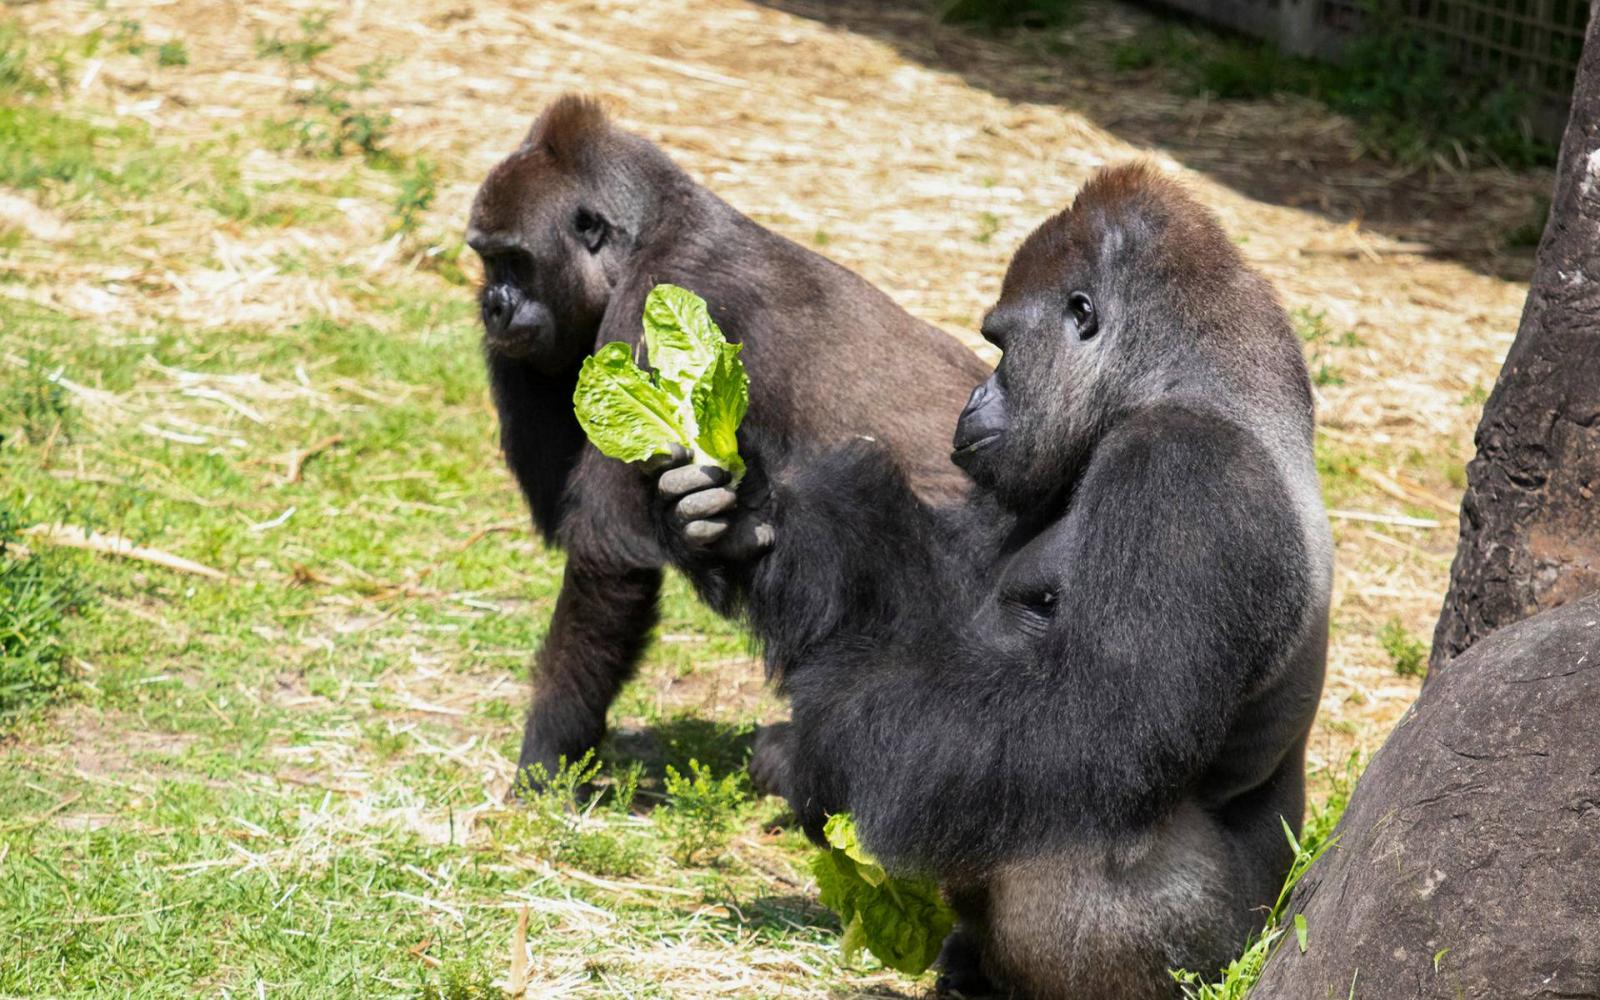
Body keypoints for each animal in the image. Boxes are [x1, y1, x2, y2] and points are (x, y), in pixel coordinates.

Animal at [464, 91, 985, 780]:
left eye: (514, 261)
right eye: (485, 260)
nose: (492, 304)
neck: (651, 228)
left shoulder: (647, 314)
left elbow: (608, 559)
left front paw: (548, 759)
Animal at [649, 161, 1337, 992]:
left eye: (1001, 346)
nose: (975, 399)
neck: (1193, 385)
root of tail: (1277, 921)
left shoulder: (1187, 471)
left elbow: (1098, 726)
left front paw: (824, 743)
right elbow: (942, 588)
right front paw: (741, 525)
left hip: (1224, 953)